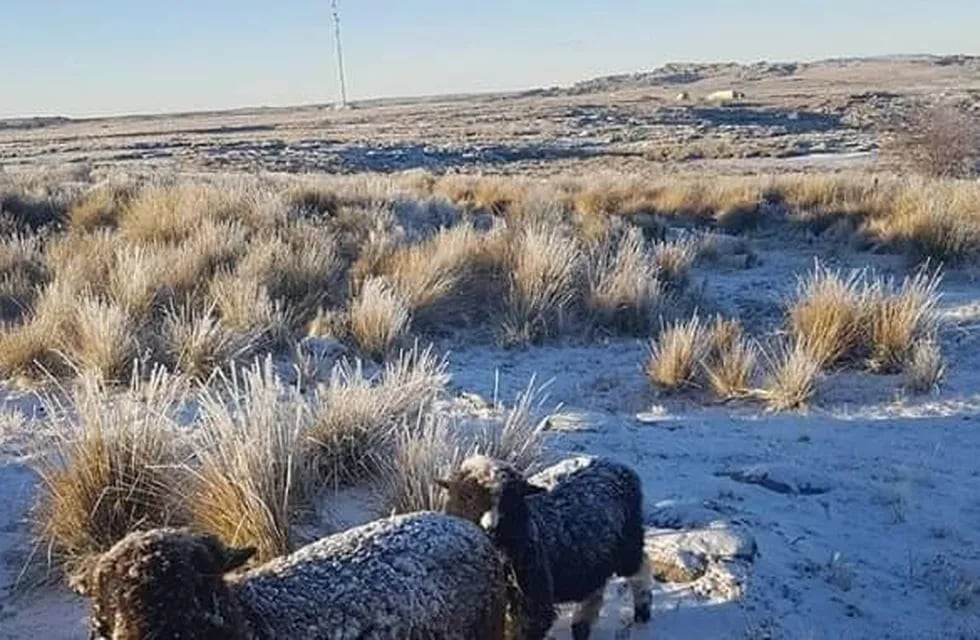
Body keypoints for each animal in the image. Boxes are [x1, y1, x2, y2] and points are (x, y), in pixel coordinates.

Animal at [436, 456, 652, 640]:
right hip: (595, 555)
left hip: (627, 541)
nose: (492, 529)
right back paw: (582, 624)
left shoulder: (532, 601)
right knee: (595, 587)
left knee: (640, 568)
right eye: (468, 496)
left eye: (512, 500)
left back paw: (642, 610)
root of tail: (618, 465)